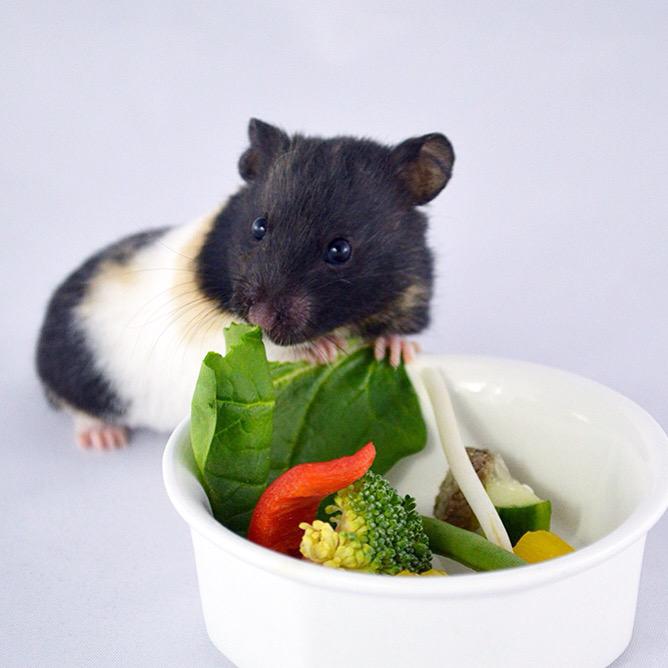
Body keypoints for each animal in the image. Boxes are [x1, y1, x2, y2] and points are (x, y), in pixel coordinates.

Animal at [36, 119, 455, 449]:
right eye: (258, 227)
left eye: (340, 250)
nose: (260, 317)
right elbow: (269, 349)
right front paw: (322, 350)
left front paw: (396, 351)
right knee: (73, 406)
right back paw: (103, 439)